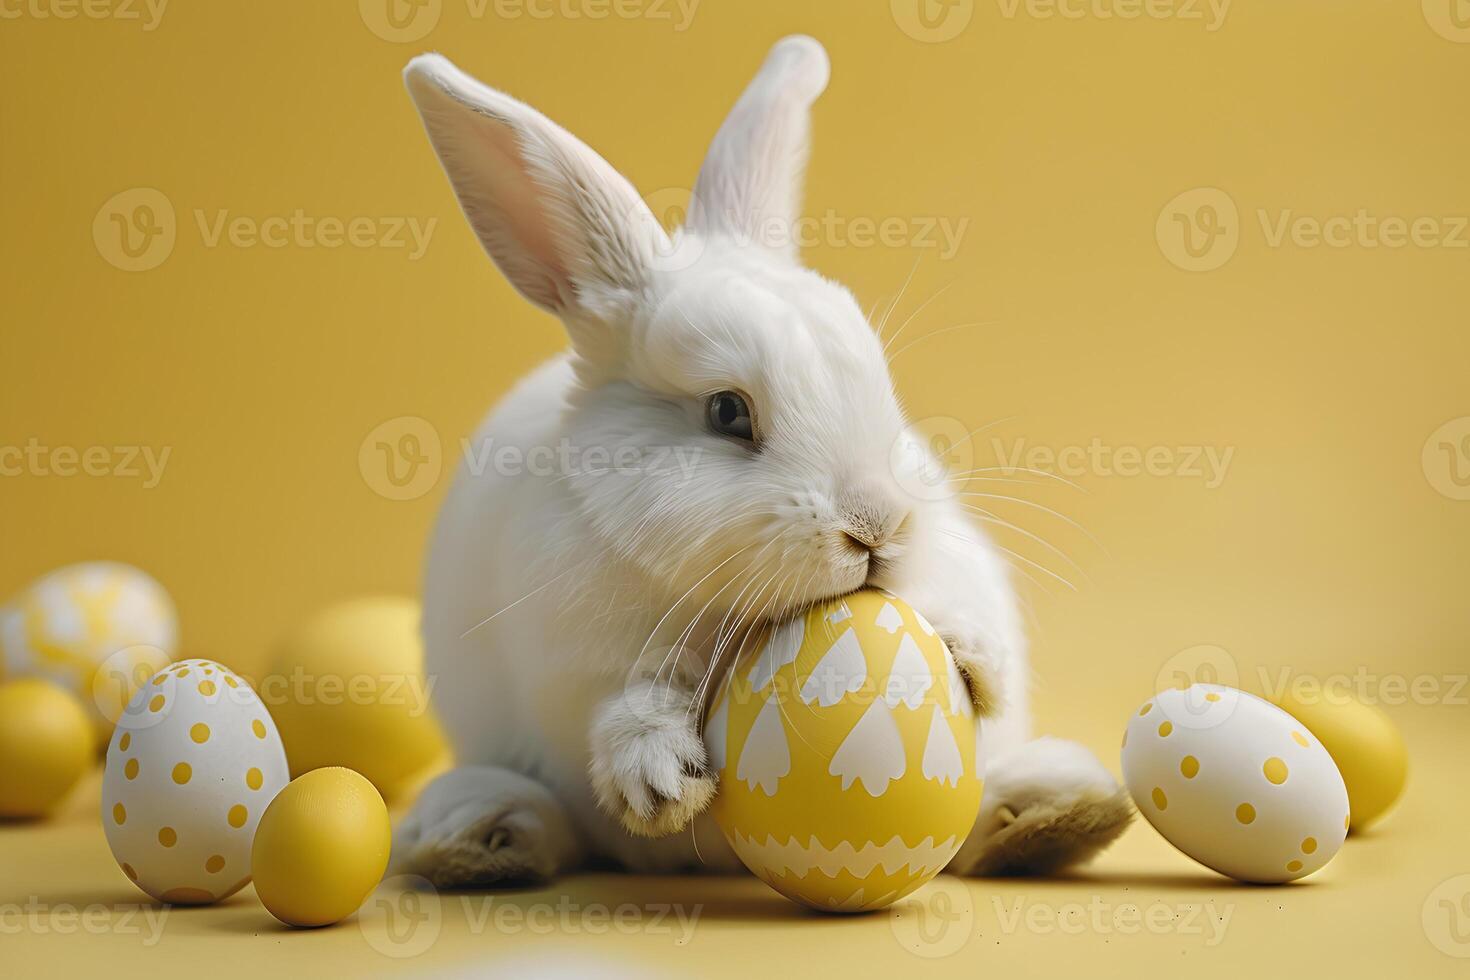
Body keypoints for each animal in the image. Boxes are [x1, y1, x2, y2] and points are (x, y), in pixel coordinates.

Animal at [391, 36, 1123, 887]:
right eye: (727, 413)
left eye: (880, 386)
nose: (877, 527)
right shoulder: (578, 671)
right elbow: (622, 713)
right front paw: (660, 780)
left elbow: (973, 634)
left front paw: (968, 651)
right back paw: (481, 836)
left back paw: (1055, 814)